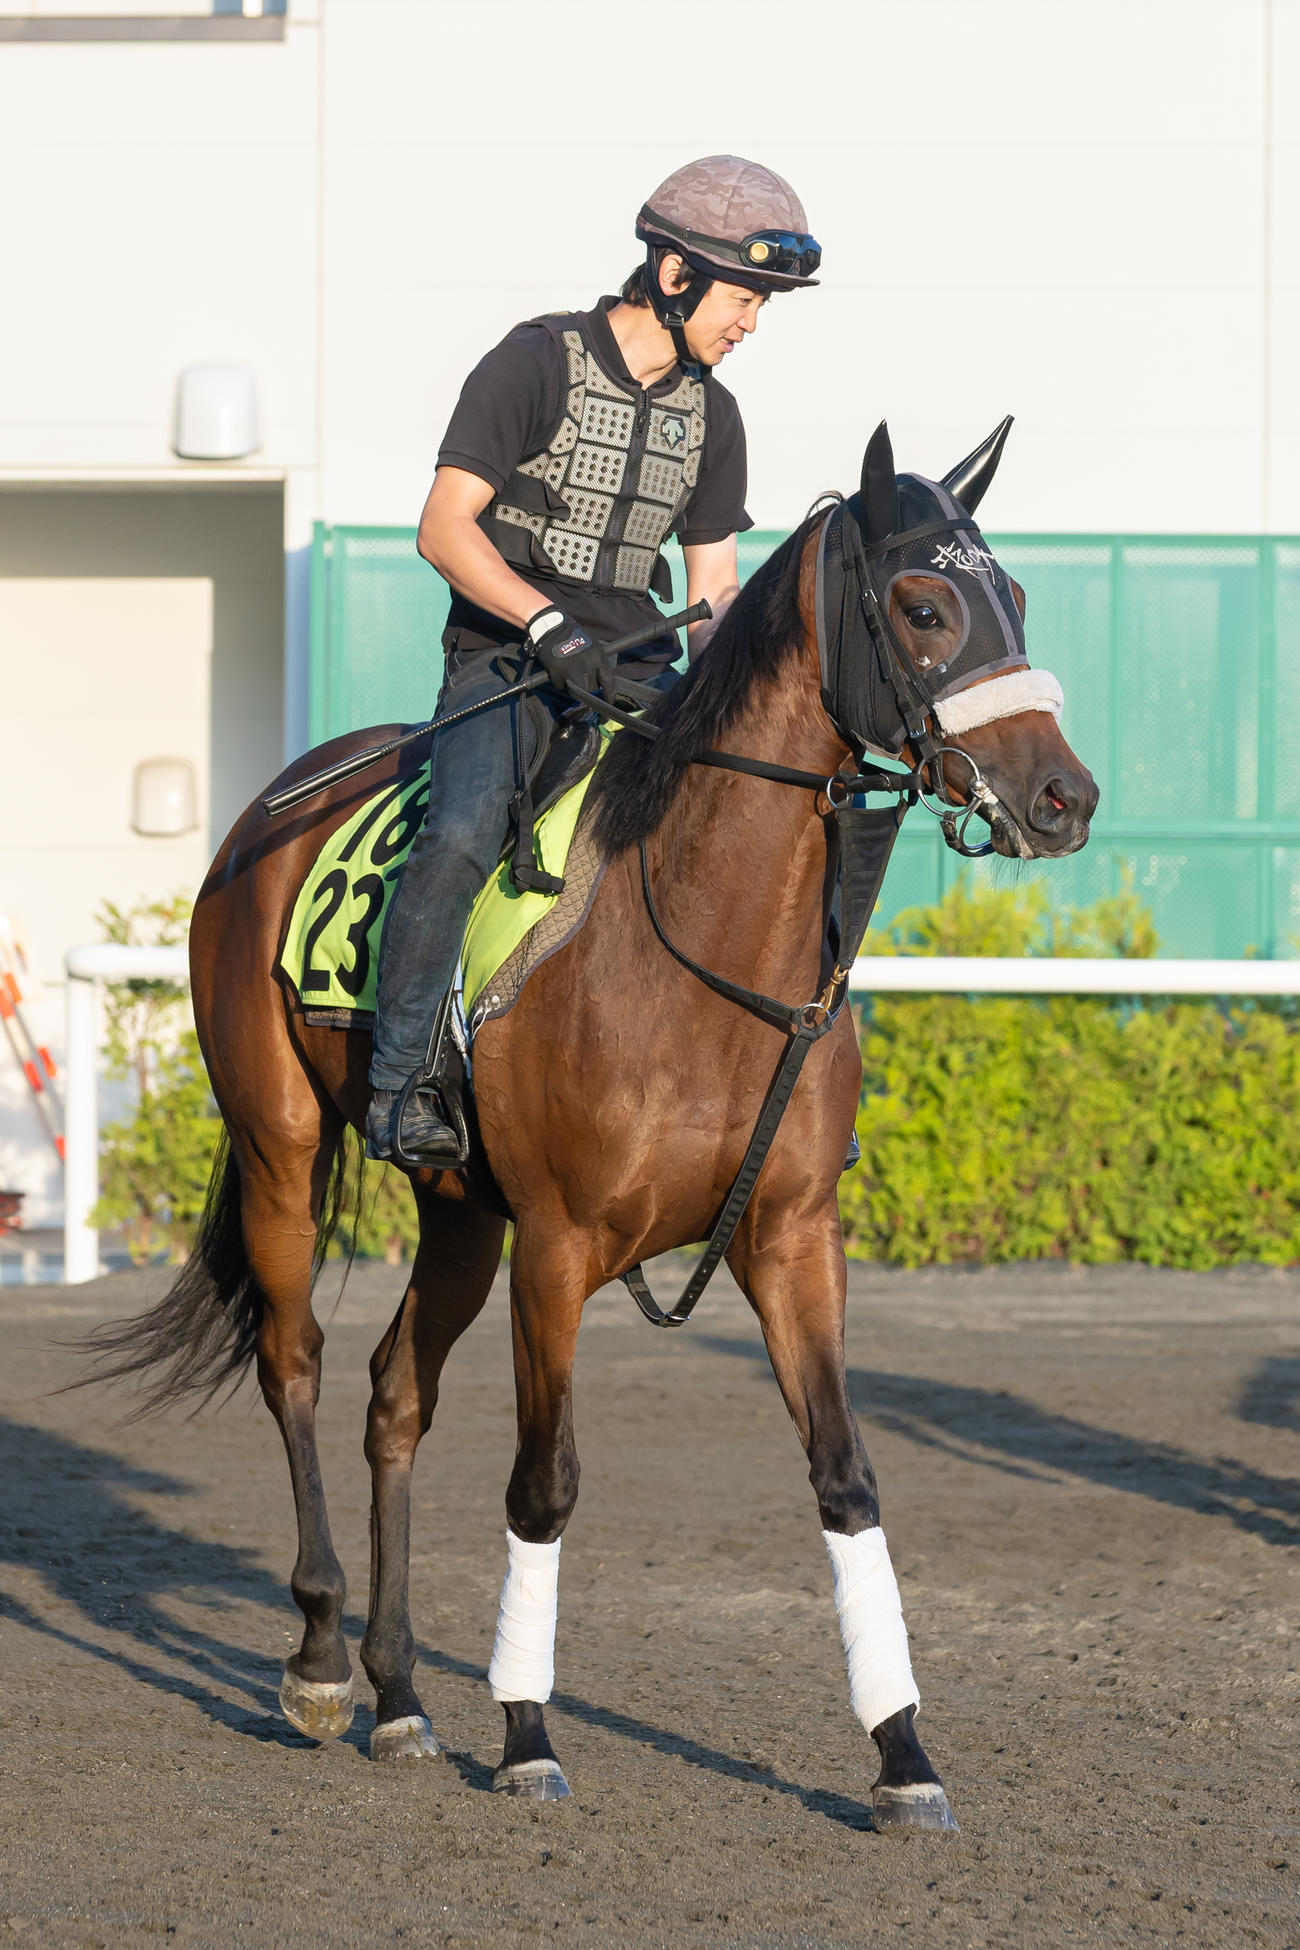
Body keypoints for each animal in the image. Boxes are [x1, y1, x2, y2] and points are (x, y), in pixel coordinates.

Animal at [81, 419, 1097, 1832]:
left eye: (1019, 600)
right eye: (924, 606)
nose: (1063, 796)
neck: (703, 947)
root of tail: (273, 805)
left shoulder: (792, 1237)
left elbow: (845, 1475)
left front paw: (902, 1755)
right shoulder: (558, 1248)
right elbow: (543, 1481)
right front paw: (525, 1731)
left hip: (459, 1214)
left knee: (394, 1396)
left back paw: (402, 1697)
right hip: (285, 1149)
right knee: (296, 1363)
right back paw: (325, 1660)